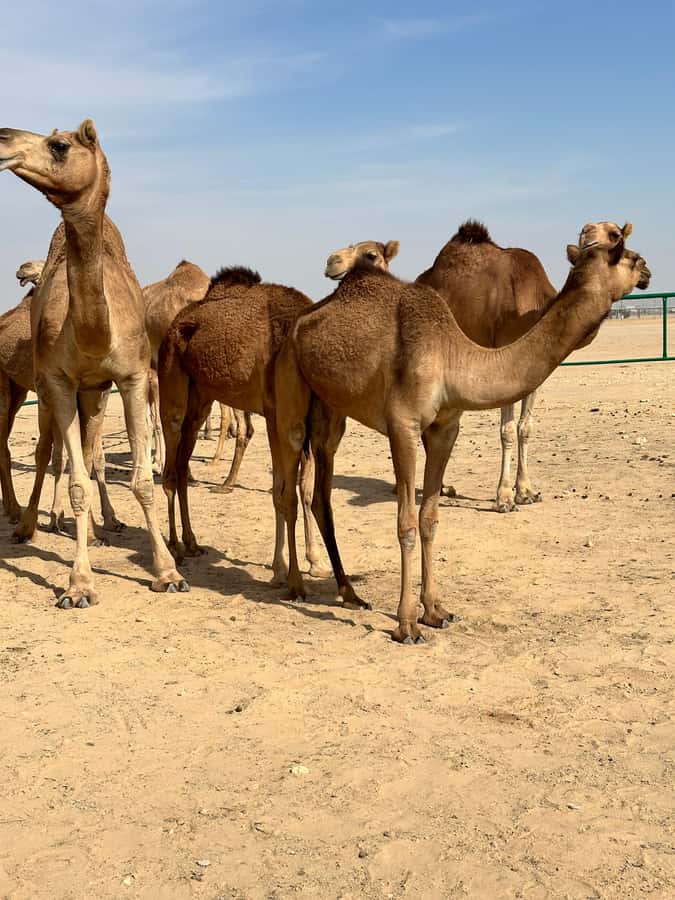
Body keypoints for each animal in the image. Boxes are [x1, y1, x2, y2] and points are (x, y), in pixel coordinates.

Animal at [0, 119, 185, 607]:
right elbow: (76, 480)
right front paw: (79, 584)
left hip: (88, 392)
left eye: (59, 146)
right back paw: (25, 523)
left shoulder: (132, 377)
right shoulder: (59, 382)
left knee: (79, 451)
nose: (3, 138)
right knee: (38, 451)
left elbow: (140, 480)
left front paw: (168, 571)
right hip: (29, 388)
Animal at [326, 221, 634, 511]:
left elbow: (525, 428)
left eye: (615, 235)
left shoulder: (533, 372)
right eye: (586, 233)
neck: (532, 306)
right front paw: (504, 497)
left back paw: (441, 486)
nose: (332, 261)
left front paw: (526, 492)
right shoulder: (503, 357)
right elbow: (506, 431)